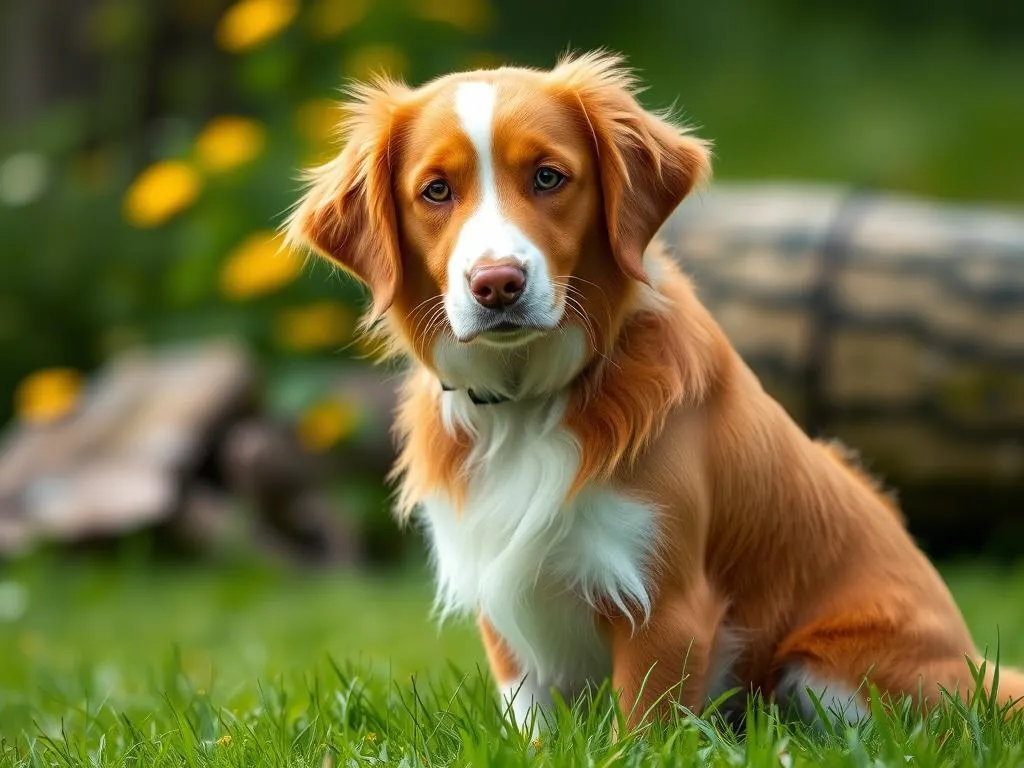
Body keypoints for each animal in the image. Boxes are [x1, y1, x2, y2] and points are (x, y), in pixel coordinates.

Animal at [288, 51, 1024, 729]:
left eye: (549, 176)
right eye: (436, 191)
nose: (497, 285)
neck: (529, 399)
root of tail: (982, 668)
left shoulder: (662, 602)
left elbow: (642, 729)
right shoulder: (504, 605)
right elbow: (530, 719)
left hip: (823, 668)